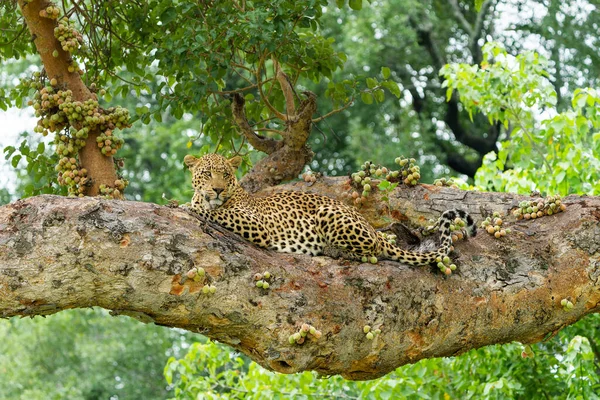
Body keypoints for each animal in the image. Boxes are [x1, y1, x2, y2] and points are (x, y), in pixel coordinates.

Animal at [185, 153, 476, 266]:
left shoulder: (258, 225)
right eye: (207, 174)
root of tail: (373, 228)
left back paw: (332, 249)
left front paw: (192, 206)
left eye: (225, 175)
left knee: (371, 250)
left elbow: (218, 212)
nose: (217, 189)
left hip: (329, 213)